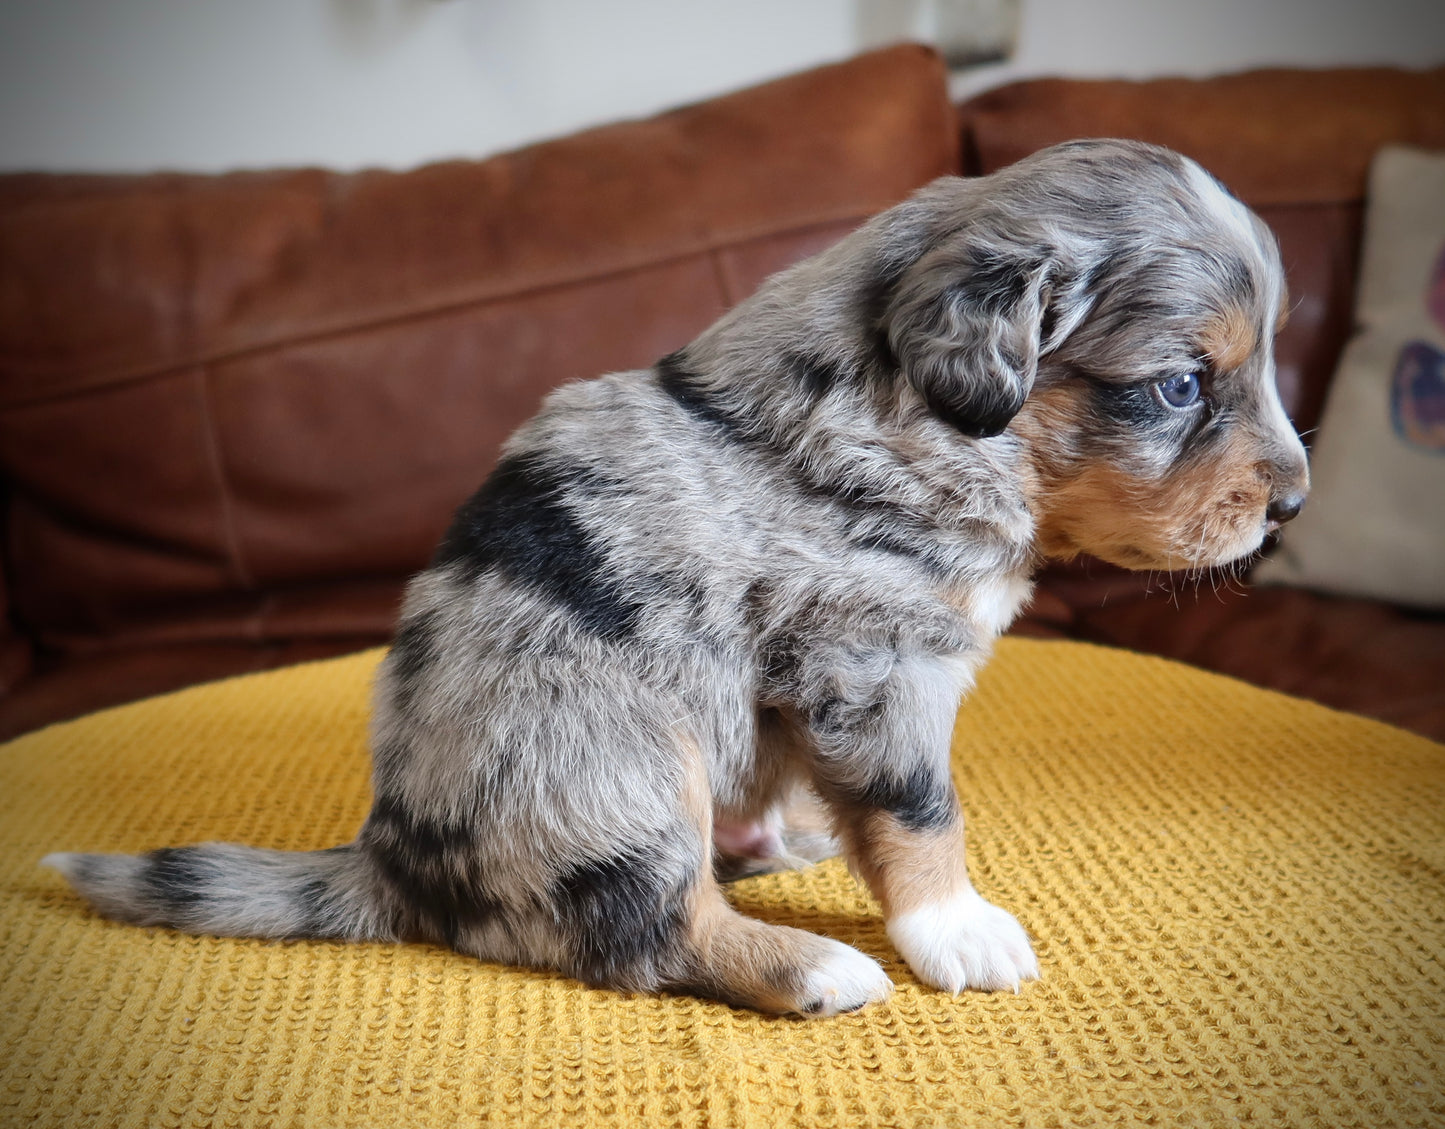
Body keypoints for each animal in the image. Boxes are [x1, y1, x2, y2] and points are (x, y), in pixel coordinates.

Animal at [45, 138, 1312, 1011]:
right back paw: (811, 964)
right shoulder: (872, 658)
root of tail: (395, 861)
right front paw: (955, 928)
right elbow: (918, 808)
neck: (948, 430)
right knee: (648, 929)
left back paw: (767, 847)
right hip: (621, 757)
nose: (1292, 505)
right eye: (1178, 386)